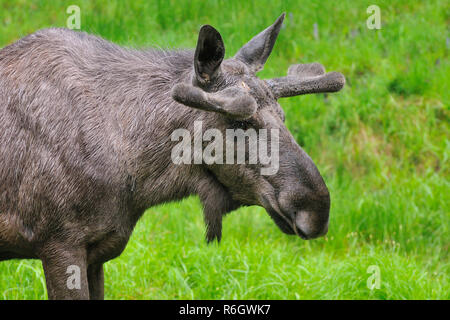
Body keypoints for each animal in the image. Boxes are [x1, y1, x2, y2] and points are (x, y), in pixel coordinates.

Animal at [0, 14, 344, 300]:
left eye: (283, 116)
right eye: (239, 121)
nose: (317, 209)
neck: (136, 181)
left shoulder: (96, 253)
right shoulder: (59, 244)